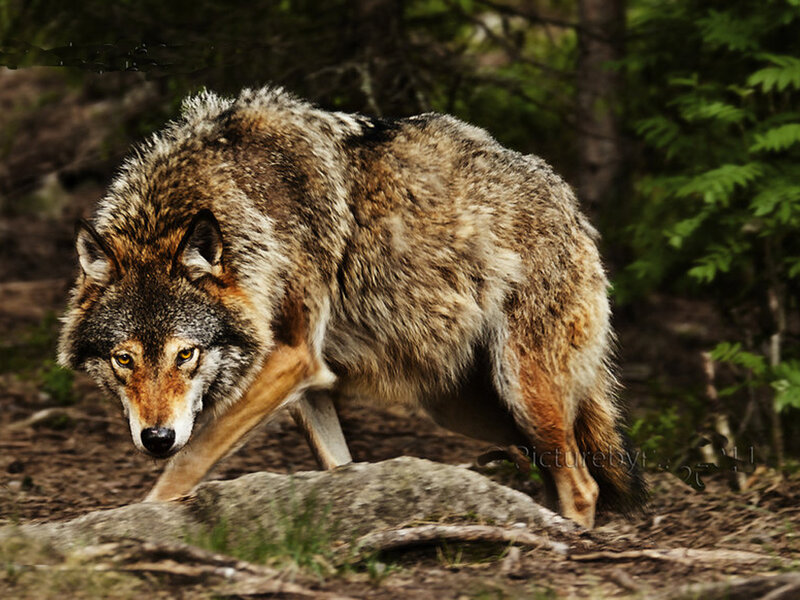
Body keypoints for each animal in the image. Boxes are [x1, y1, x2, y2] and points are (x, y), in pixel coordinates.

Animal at [58, 87, 645, 528]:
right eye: (124, 359)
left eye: (186, 355)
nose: (156, 438)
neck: (246, 208)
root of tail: (570, 204)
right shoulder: (310, 382)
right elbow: (337, 467)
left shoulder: (291, 357)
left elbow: (190, 460)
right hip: (467, 409)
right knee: (553, 466)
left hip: (524, 390)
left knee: (583, 484)